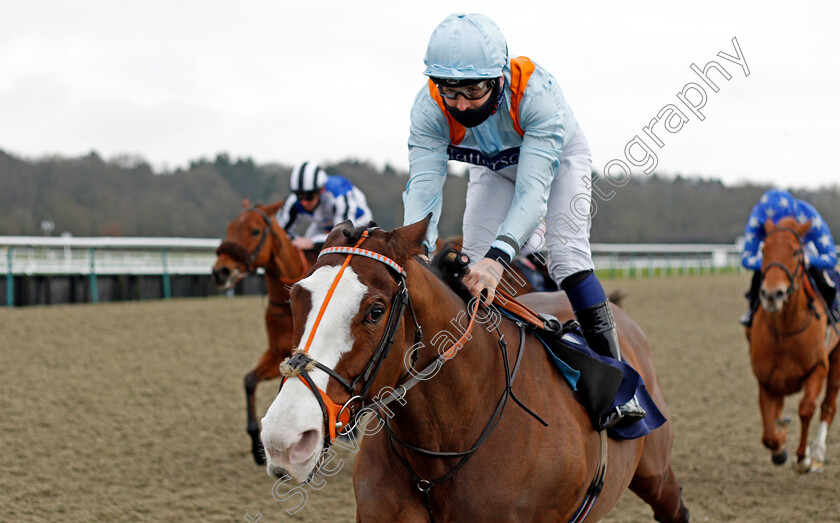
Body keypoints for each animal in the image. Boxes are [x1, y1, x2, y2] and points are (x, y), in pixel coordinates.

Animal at [210, 200, 316, 466]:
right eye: (229, 228)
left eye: (255, 231)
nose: (220, 272)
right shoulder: (277, 353)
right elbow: (249, 381)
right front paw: (255, 444)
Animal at [748, 219, 840, 472]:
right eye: (763, 250)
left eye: (796, 252)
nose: (772, 294)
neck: (785, 330)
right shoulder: (766, 379)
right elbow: (768, 434)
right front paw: (780, 444)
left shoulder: (818, 367)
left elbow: (806, 408)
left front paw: (803, 458)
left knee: (828, 405)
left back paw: (817, 453)